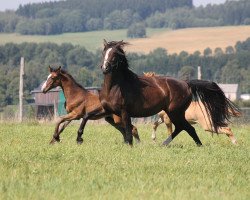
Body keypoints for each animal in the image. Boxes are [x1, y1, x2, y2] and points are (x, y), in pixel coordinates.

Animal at [98, 39, 239, 145]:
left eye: (115, 54)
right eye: (104, 52)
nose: (105, 68)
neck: (116, 87)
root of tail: (186, 84)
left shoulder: (125, 112)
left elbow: (128, 131)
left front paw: (131, 145)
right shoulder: (110, 112)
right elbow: (123, 127)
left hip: (175, 112)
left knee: (187, 128)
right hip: (175, 113)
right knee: (183, 128)